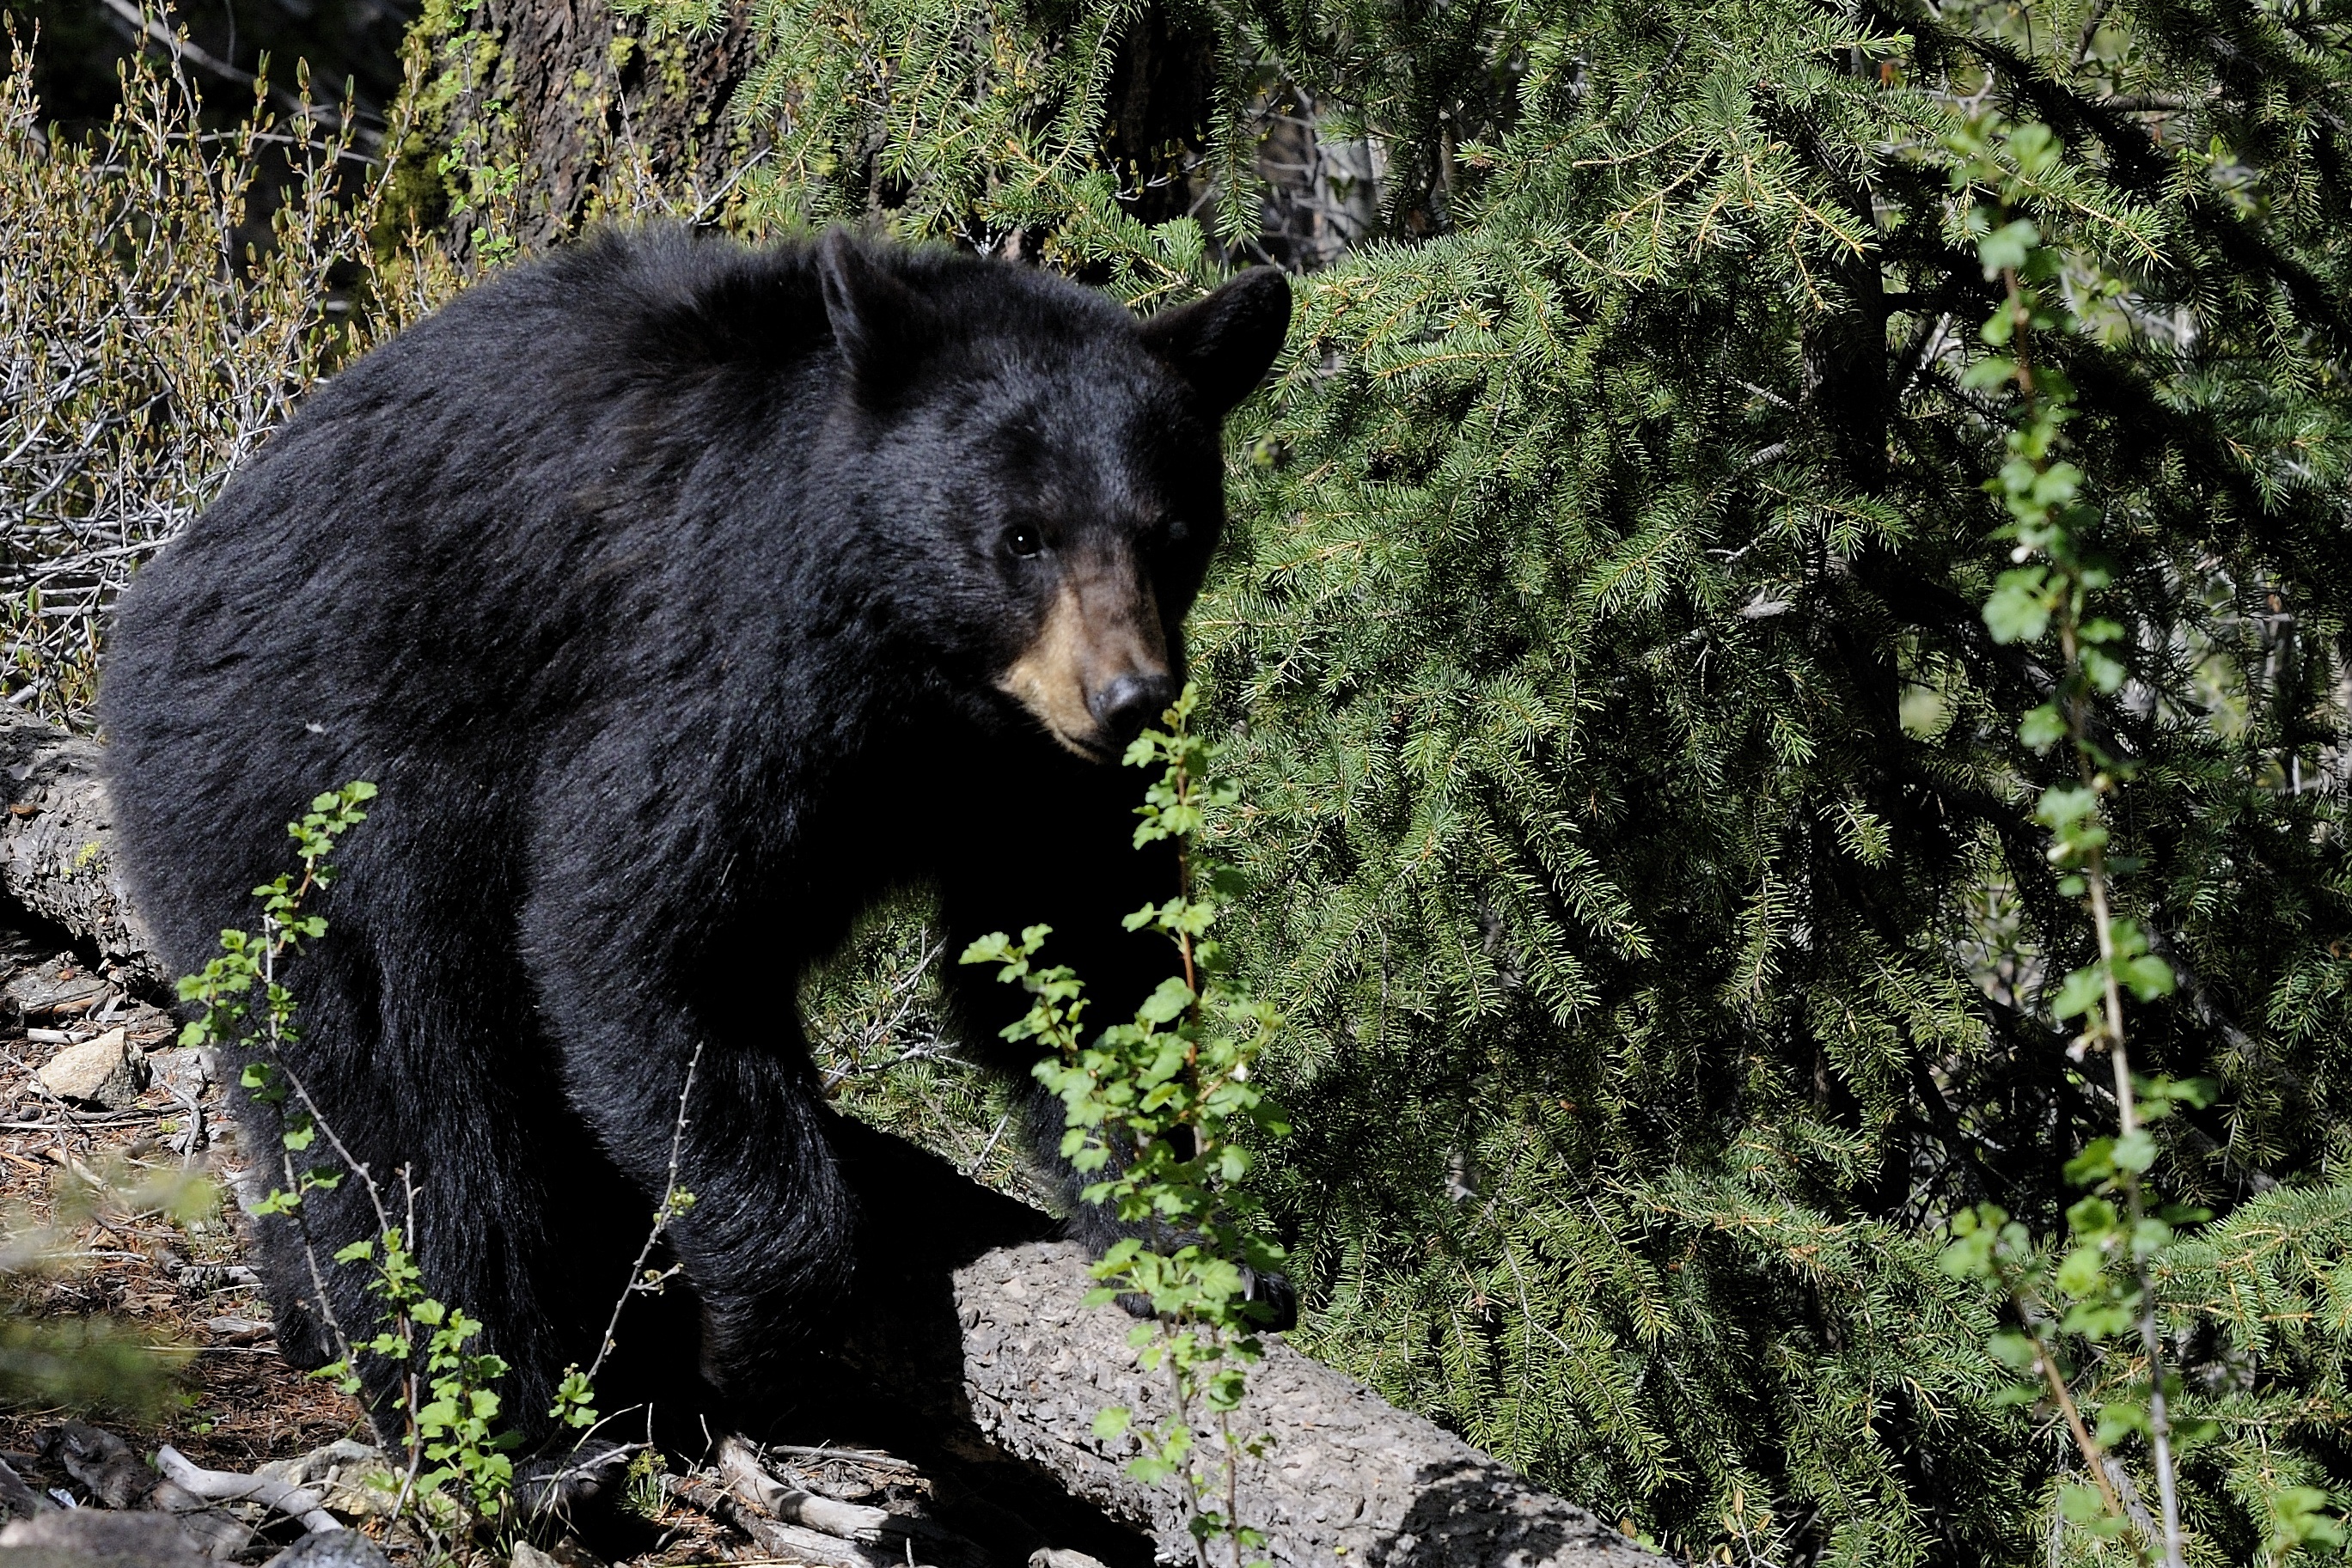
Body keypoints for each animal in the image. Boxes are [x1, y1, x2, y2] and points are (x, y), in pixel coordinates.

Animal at [96, 227, 1288, 1438]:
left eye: (1172, 533)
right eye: (1021, 534)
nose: (1128, 699)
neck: (924, 679)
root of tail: (162, 586)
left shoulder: (1033, 773)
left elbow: (1084, 957)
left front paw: (1189, 1240)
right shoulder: (726, 648)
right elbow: (633, 929)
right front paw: (772, 1328)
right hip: (301, 782)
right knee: (404, 1106)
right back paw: (504, 1417)